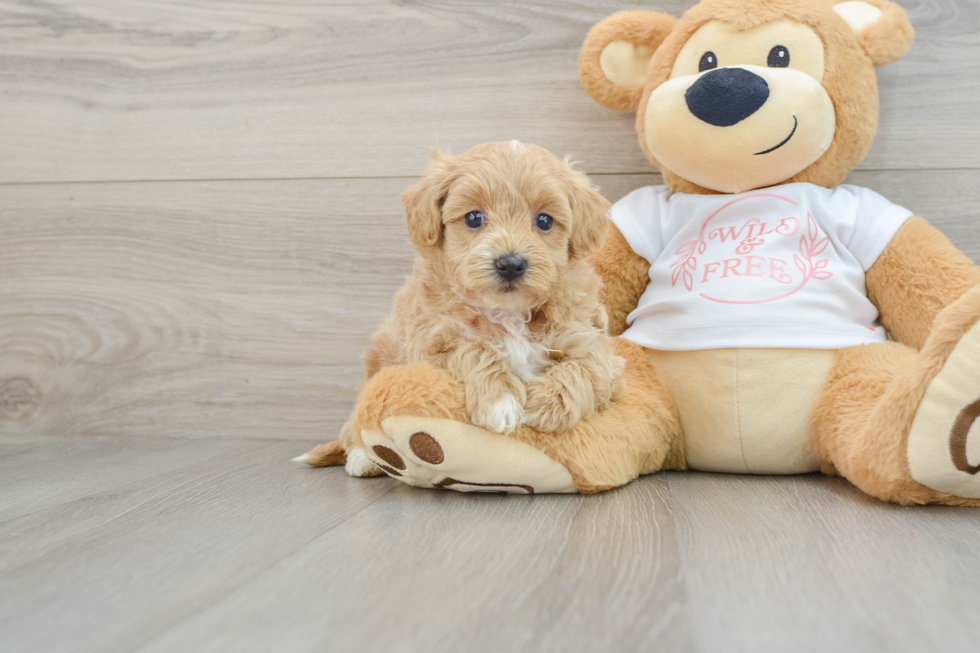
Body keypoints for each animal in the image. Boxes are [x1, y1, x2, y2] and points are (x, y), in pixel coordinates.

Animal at [296, 141, 628, 474]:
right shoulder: (427, 347)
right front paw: (501, 399)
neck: (508, 311)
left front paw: (544, 404)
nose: (511, 264)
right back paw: (363, 457)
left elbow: (586, 369)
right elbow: (473, 348)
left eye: (545, 221)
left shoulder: (592, 341)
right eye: (473, 218)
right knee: (354, 426)